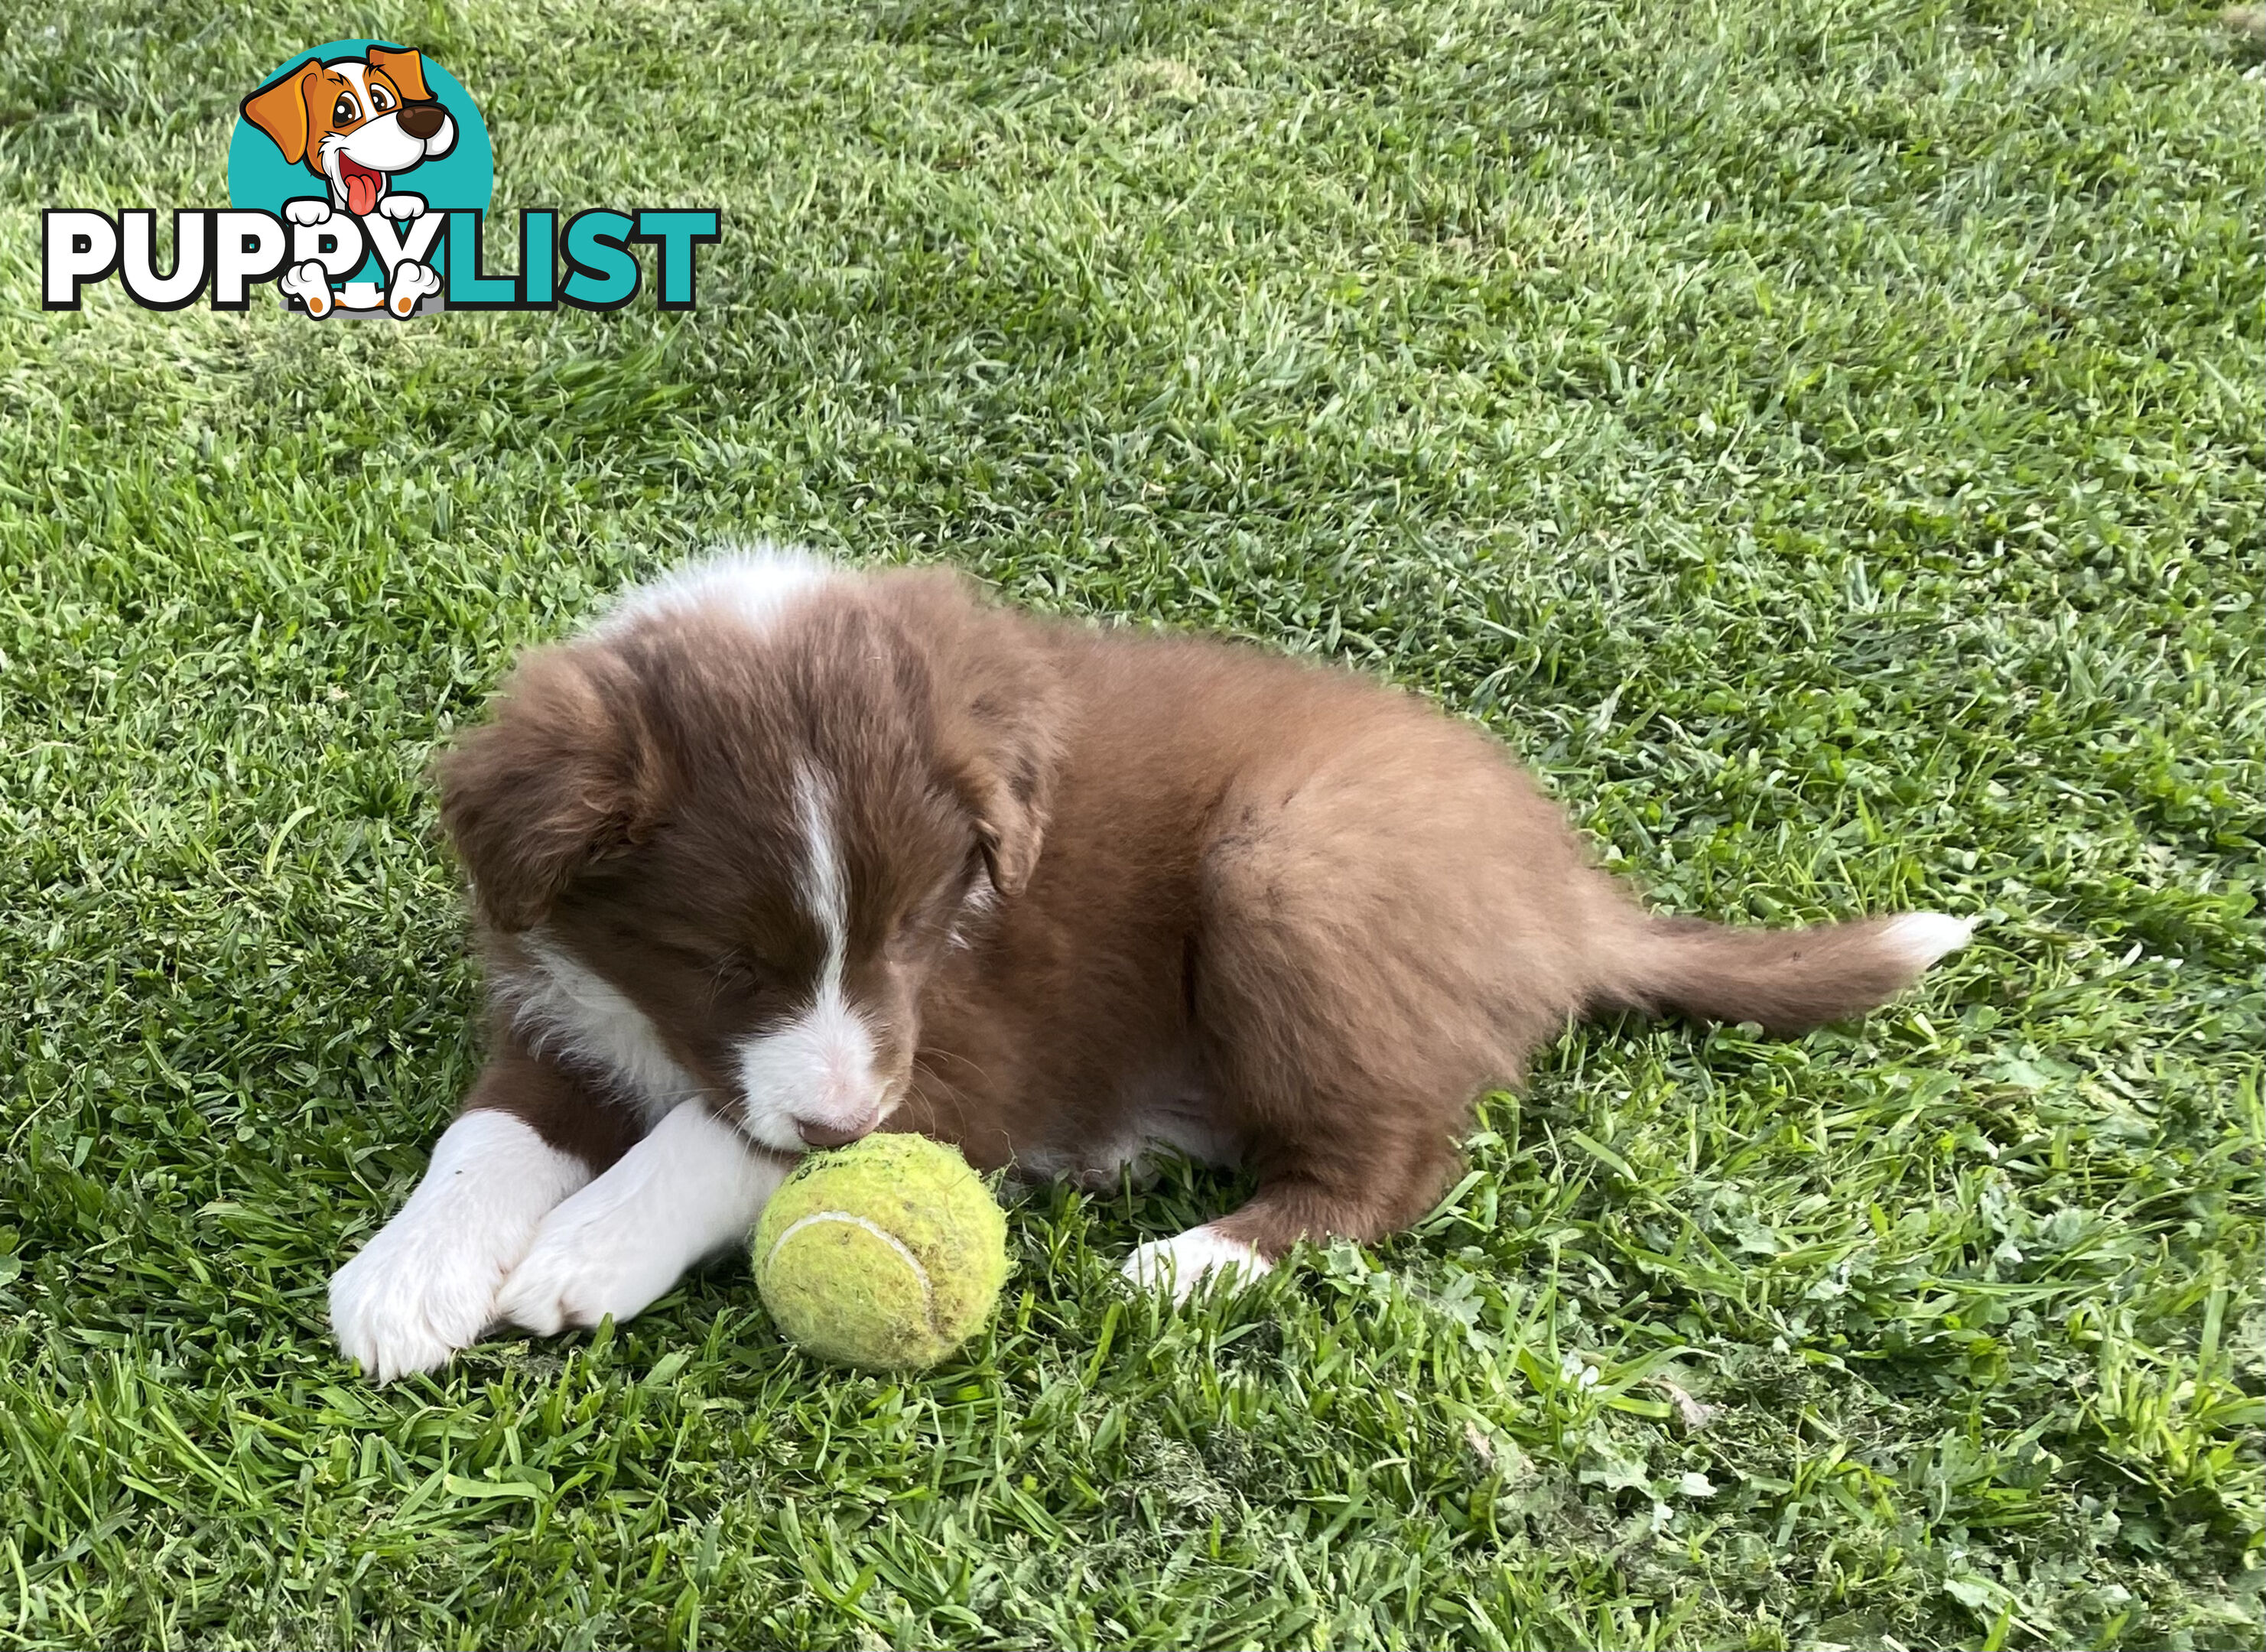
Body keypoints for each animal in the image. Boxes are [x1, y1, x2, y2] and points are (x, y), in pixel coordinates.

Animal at [328, 554, 1975, 1377]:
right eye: (716, 960)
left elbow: (719, 1140)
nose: (847, 1123)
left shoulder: (958, 1042)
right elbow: (489, 1132)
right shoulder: (560, 993)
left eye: (917, 924)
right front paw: (408, 1275)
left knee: (1394, 1164)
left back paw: (1195, 1261)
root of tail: (1566, 890)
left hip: (1289, 867)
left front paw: (589, 1247)